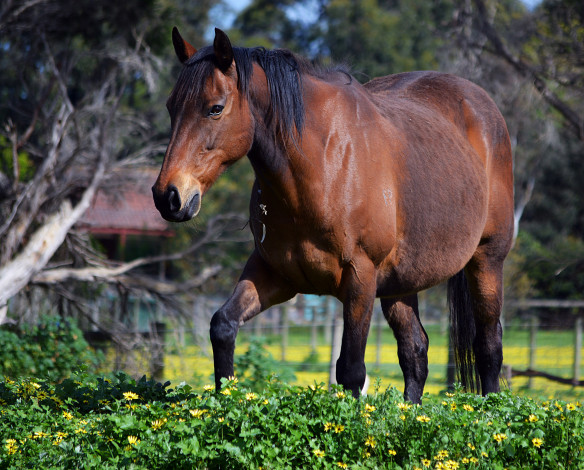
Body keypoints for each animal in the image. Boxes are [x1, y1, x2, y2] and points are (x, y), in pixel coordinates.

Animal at [153, 27, 512, 402]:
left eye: (215, 108)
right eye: (171, 106)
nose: (169, 196)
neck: (323, 164)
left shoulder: (360, 278)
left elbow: (351, 370)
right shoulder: (273, 273)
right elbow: (222, 326)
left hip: (487, 260)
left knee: (488, 346)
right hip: (401, 284)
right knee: (415, 351)